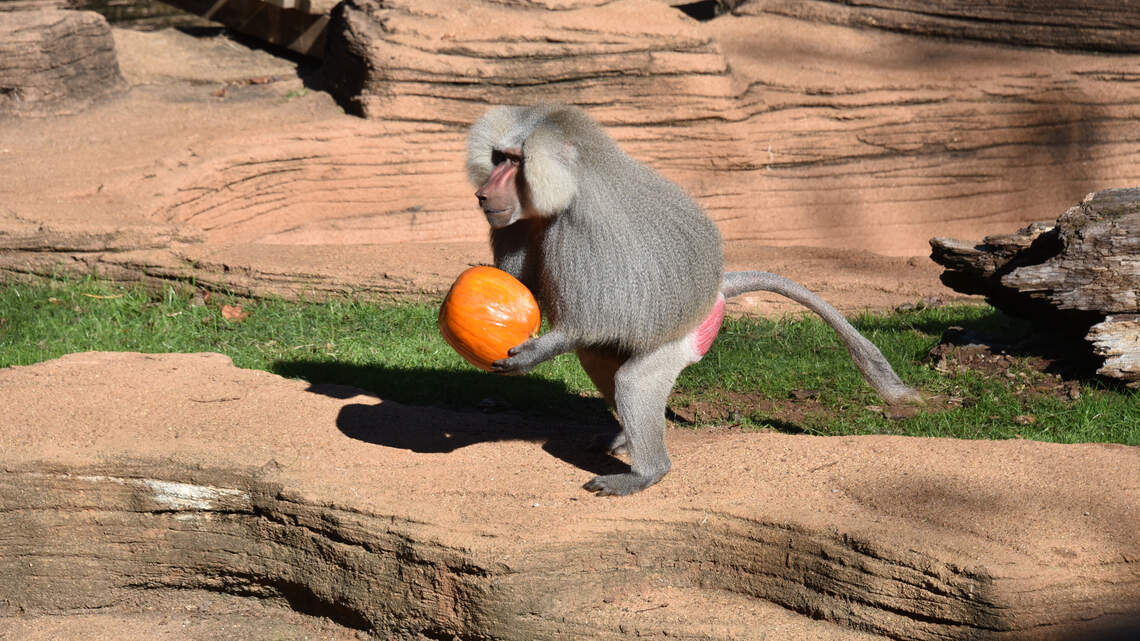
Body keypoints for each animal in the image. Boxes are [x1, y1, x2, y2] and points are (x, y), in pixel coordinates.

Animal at [466, 104, 923, 496]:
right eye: (498, 157)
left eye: (515, 161)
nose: (483, 196)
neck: (572, 183)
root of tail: (716, 289)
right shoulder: (516, 226)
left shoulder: (580, 234)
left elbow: (589, 322)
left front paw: (529, 355)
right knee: (599, 359)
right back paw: (624, 437)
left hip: (684, 337)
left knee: (633, 380)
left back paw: (646, 472)